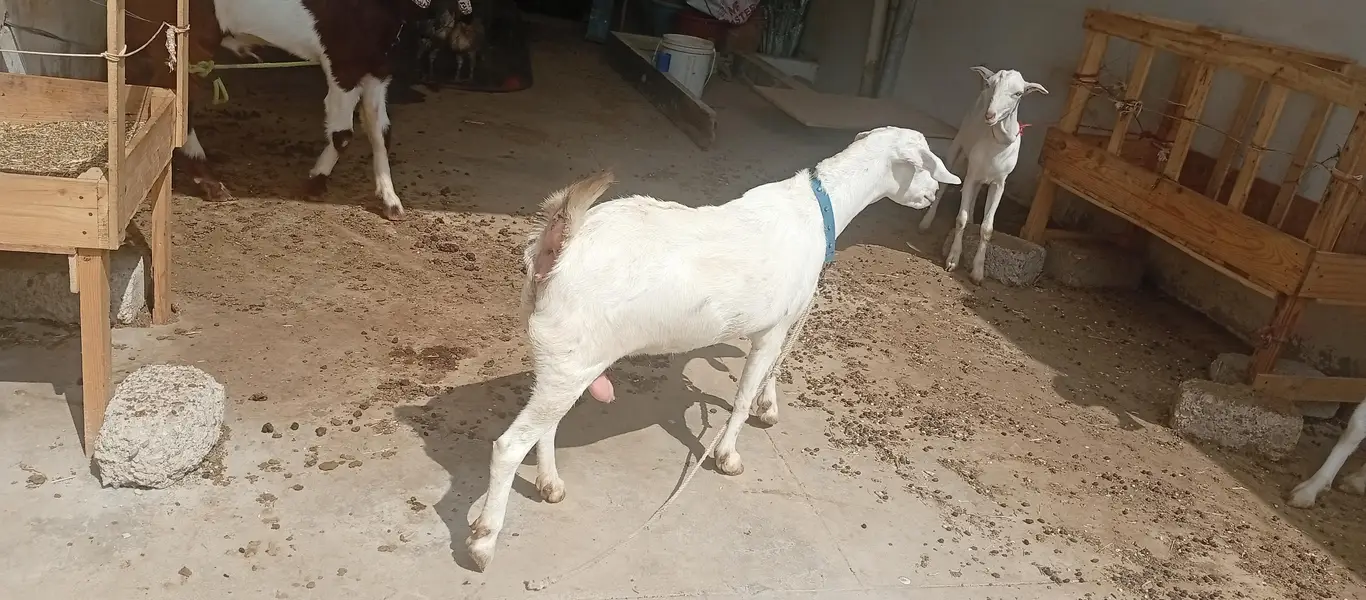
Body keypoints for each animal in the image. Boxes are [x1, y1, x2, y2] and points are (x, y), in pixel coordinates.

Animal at [126, 0, 434, 220]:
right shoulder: (342, 63)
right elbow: (343, 134)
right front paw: (315, 183)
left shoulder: (379, 68)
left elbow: (381, 132)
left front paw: (390, 200)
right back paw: (210, 181)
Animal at [465, 126, 961, 571]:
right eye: (926, 165)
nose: (932, 194)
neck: (819, 207)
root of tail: (557, 246)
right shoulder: (772, 328)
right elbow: (743, 394)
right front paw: (729, 456)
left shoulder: (784, 321)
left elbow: (771, 372)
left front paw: (768, 408)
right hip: (571, 360)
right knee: (509, 445)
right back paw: (484, 542)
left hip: (566, 361)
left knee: (546, 426)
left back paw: (550, 484)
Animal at [918, 67, 1048, 284]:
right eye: (990, 84)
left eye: (1018, 93)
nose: (990, 115)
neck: (997, 141)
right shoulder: (971, 175)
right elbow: (960, 218)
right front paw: (953, 259)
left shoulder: (999, 184)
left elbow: (987, 228)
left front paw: (978, 272)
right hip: (958, 147)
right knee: (944, 183)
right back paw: (926, 222)